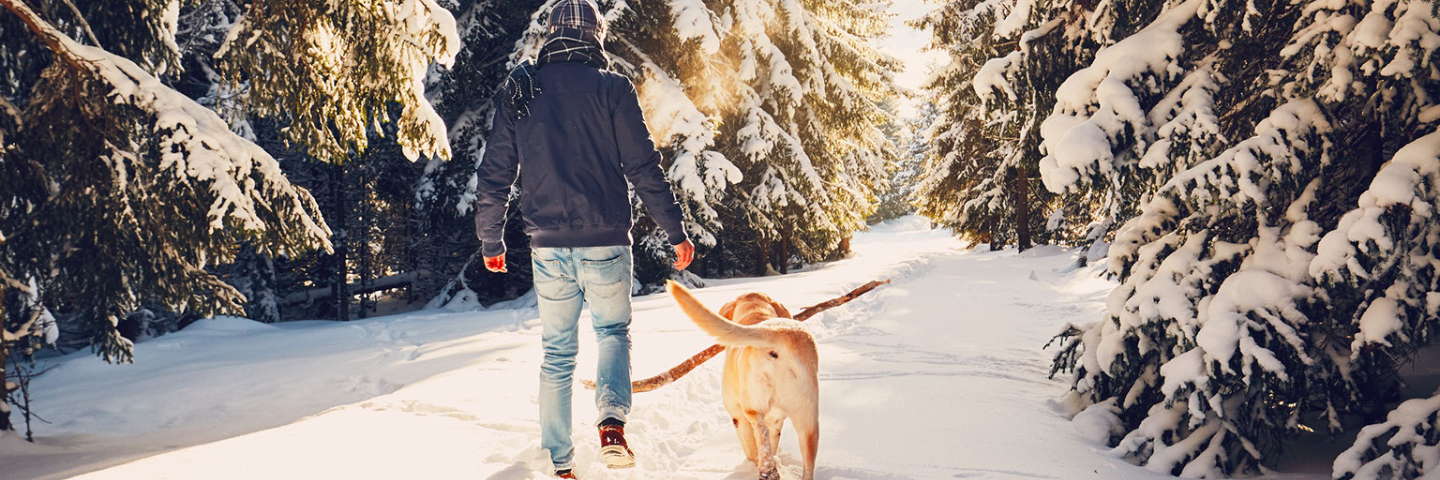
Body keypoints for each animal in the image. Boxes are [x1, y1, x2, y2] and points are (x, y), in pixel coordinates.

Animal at [665, 281, 817, 478]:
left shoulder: (737, 416)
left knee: (760, 431)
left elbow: (752, 448)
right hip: (808, 419)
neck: (756, 314)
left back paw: (767, 469)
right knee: (807, 458)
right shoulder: (777, 421)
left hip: (752, 404)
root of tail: (776, 333)